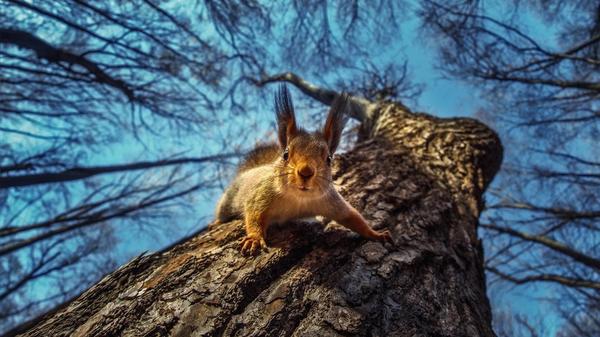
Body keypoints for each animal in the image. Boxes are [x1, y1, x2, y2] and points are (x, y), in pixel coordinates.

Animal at [216, 84, 394, 255]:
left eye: (329, 159)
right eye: (286, 154)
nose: (306, 172)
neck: (298, 199)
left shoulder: (330, 201)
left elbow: (353, 217)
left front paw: (376, 234)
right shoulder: (261, 196)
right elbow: (254, 216)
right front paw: (254, 239)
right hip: (229, 198)